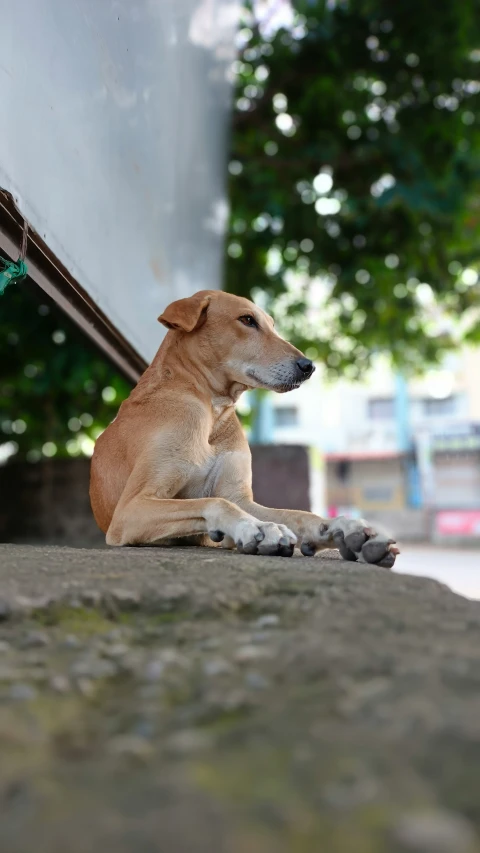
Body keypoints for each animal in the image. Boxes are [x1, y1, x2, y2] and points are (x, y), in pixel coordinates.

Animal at [90, 292, 398, 564]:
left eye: (272, 324)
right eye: (247, 320)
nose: (308, 366)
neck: (212, 413)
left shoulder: (240, 497)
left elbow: (297, 514)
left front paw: (341, 527)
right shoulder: (131, 509)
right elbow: (215, 502)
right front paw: (258, 529)